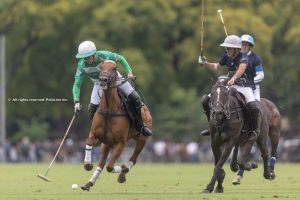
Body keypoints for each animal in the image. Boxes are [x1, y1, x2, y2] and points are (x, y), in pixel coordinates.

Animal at [80, 60, 152, 191]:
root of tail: (145, 108)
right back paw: (89, 183)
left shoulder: (120, 143)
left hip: (142, 139)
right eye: (101, 67)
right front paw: (87, 164)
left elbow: (110, 167)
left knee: (133, 159)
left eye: (114, 68)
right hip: (106, 144)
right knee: (101, 163)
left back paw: (123, 172)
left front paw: (123, 168)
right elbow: (89, 141)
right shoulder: (97, 136)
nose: (103, 80)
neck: (109, 110)